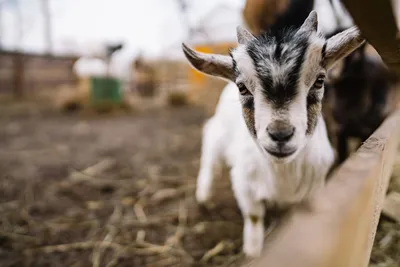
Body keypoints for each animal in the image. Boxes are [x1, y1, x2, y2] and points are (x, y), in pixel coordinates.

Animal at [183, 11, 364, 260]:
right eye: (242, 87)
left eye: (319, 80)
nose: (280, 134)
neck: (282, 174)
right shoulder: (245, 185)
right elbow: (253, 217)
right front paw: (253, 252)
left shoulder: (314, 187)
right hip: (217, 133)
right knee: (210, 151)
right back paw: (204, 194)